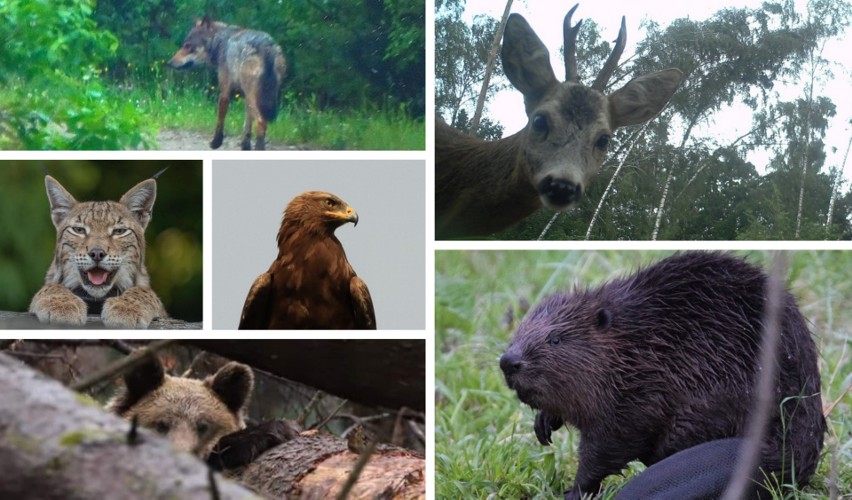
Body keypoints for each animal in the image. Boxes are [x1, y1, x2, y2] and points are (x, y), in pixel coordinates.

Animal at [30, 172, 166, 328]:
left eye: (119, 231)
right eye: (79, 230)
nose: (97, 253)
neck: (96, 298)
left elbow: (144, 291)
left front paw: (126, 308)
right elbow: (51, 287)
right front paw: (62, 306)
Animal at [168, 17, 288, 150]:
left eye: (188, 46)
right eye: (184, 45)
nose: (169, 63)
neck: (220, 42)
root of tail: (266, 47)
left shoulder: (225, 92)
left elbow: (220, 119)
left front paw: (216, 142)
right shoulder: (246, 97)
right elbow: (247, 124)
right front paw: (245, 146)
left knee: (261, 122)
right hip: (262, 96)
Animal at [500, 252, 824, 498]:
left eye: (555, 339)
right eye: (520, 329)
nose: (508, 361)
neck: (635, 346)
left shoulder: (635, 398)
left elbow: (606, 448)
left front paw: (574, 491)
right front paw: (544, 424)